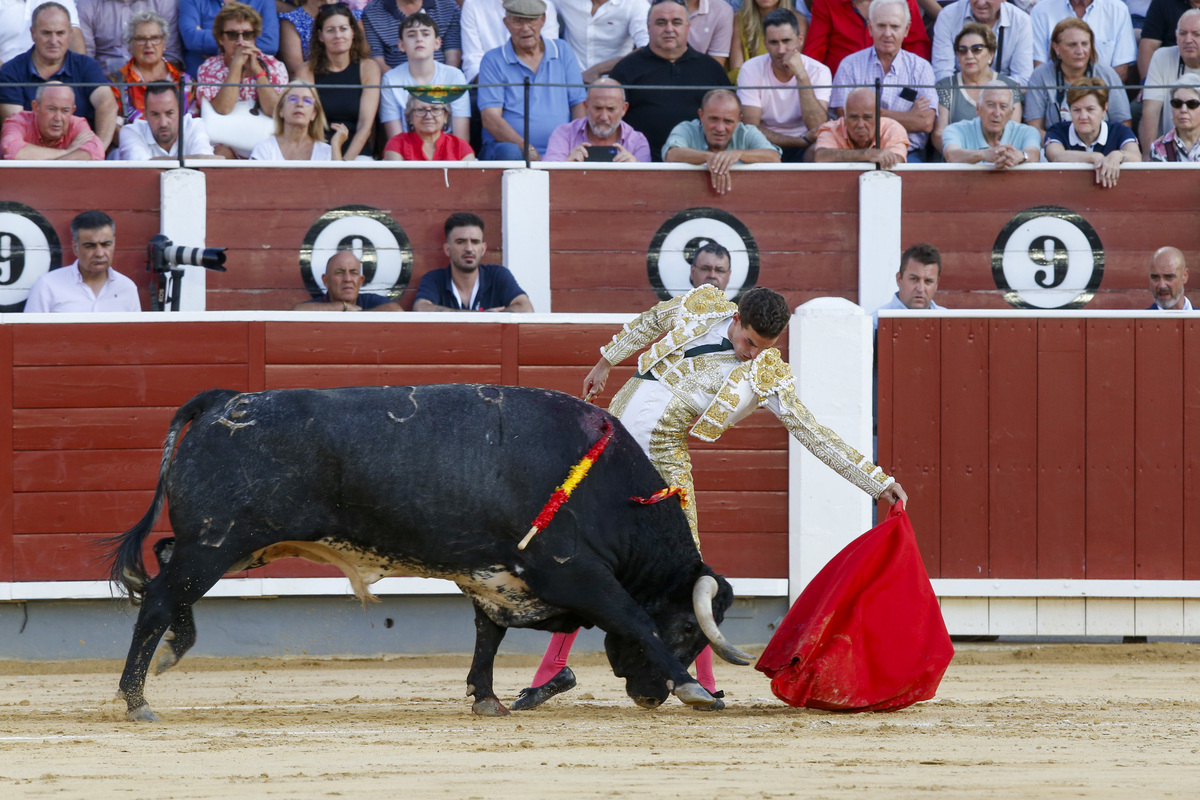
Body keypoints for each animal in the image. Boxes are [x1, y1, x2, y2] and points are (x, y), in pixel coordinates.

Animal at [108, 383, 753, 724]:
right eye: (687, 631)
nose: (649, 696)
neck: (610, 490)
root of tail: (226, 401)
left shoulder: (495, 576)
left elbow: (487, 635)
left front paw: (487, 699)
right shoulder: (575, 574)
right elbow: (633, 619)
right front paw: (696, 690)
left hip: (229, 547)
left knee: (161, 567)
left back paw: (170, 655)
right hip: (217, 544)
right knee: (159, 597)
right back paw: (137, 699)